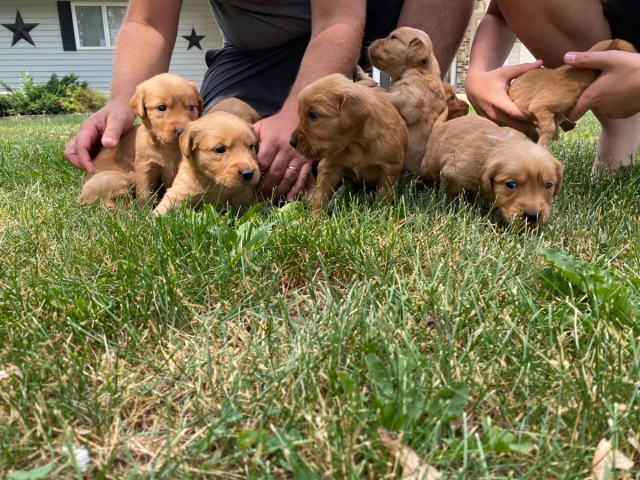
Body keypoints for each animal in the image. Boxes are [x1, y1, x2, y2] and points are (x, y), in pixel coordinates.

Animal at [133, 73, 205, 208]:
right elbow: (144, 193)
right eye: (162, 107)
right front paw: (143, 210)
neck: (168, 147)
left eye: (191, 107)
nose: (181, 131)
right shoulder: (146, 166)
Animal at [292, 74, 408, 217]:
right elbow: (320, 195)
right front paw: (316, 219)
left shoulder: (389, 170)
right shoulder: (329, 167)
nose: (291, 142)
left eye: (313, 115)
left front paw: (381, 214)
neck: (355, 145)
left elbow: (383, 197)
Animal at [356, 26, 444, 177]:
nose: (371, 41)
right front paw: (362, 75)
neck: (418, 70)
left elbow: (387, 96)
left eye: (393, 37)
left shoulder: (412, 98)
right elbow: (379, 86)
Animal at [422, 113, 564, 226]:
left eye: (549, 185)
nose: (533, 216)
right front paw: (451, 208)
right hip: (429, 165)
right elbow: (450, 194)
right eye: (510, 185)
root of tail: (441, 125)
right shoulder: (452, 174)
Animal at [508, 39, 636, 147]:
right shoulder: (540, 106)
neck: (578, 74)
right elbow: (549, 127)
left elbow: (556, 122)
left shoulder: (558, 112)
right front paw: (542, 146)